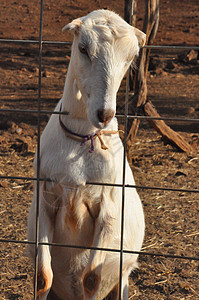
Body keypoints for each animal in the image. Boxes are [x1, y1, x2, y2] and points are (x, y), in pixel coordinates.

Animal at [27, 9, 146, 300]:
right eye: (83, 48)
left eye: (131, 57)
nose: (104, 114)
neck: (81, 139)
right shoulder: (45, 198)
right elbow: (43, 277)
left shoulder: (109, 209)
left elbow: (91, 278)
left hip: (122, 281)